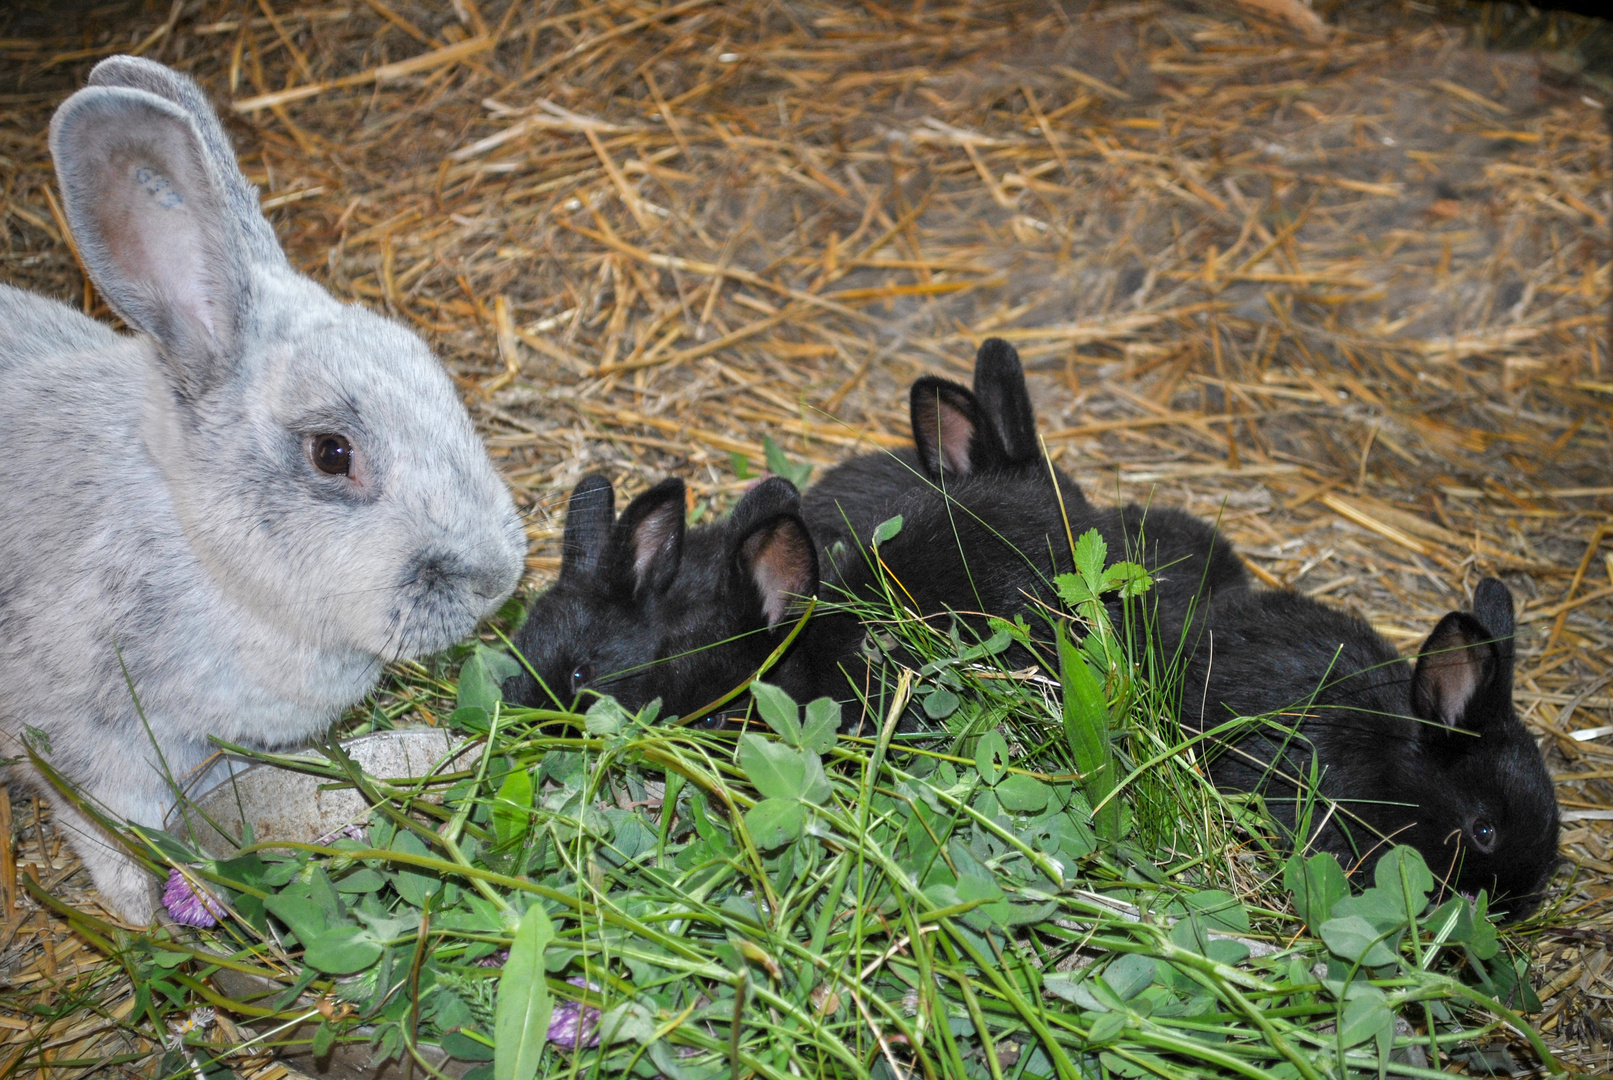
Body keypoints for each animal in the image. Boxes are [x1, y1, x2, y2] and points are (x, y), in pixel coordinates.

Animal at [0, 57, 525, 922]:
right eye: (331, 453)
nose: (497, 579)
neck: (196, 543)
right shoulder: (92, 747)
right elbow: (109, 841)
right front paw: (151, 919)